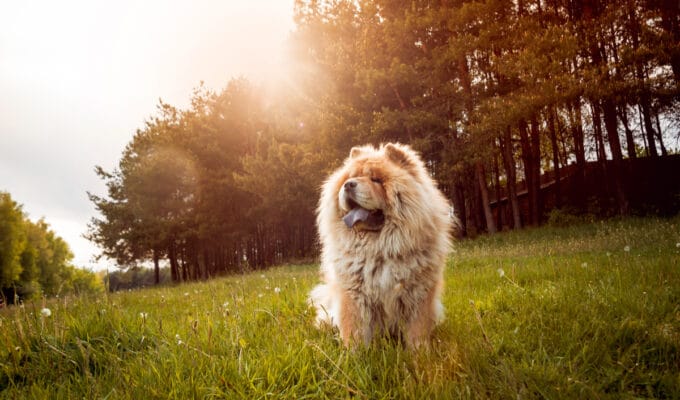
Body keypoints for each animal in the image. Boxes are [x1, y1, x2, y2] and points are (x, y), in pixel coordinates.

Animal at [310, 143, 454, 346]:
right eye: (350, 177)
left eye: (376, 180)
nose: (348, 184)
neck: (379, 248)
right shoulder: (354, 295)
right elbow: (354, 330)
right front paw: (354, 353)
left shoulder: (418, 294)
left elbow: (417, 330)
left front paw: (420, 351)